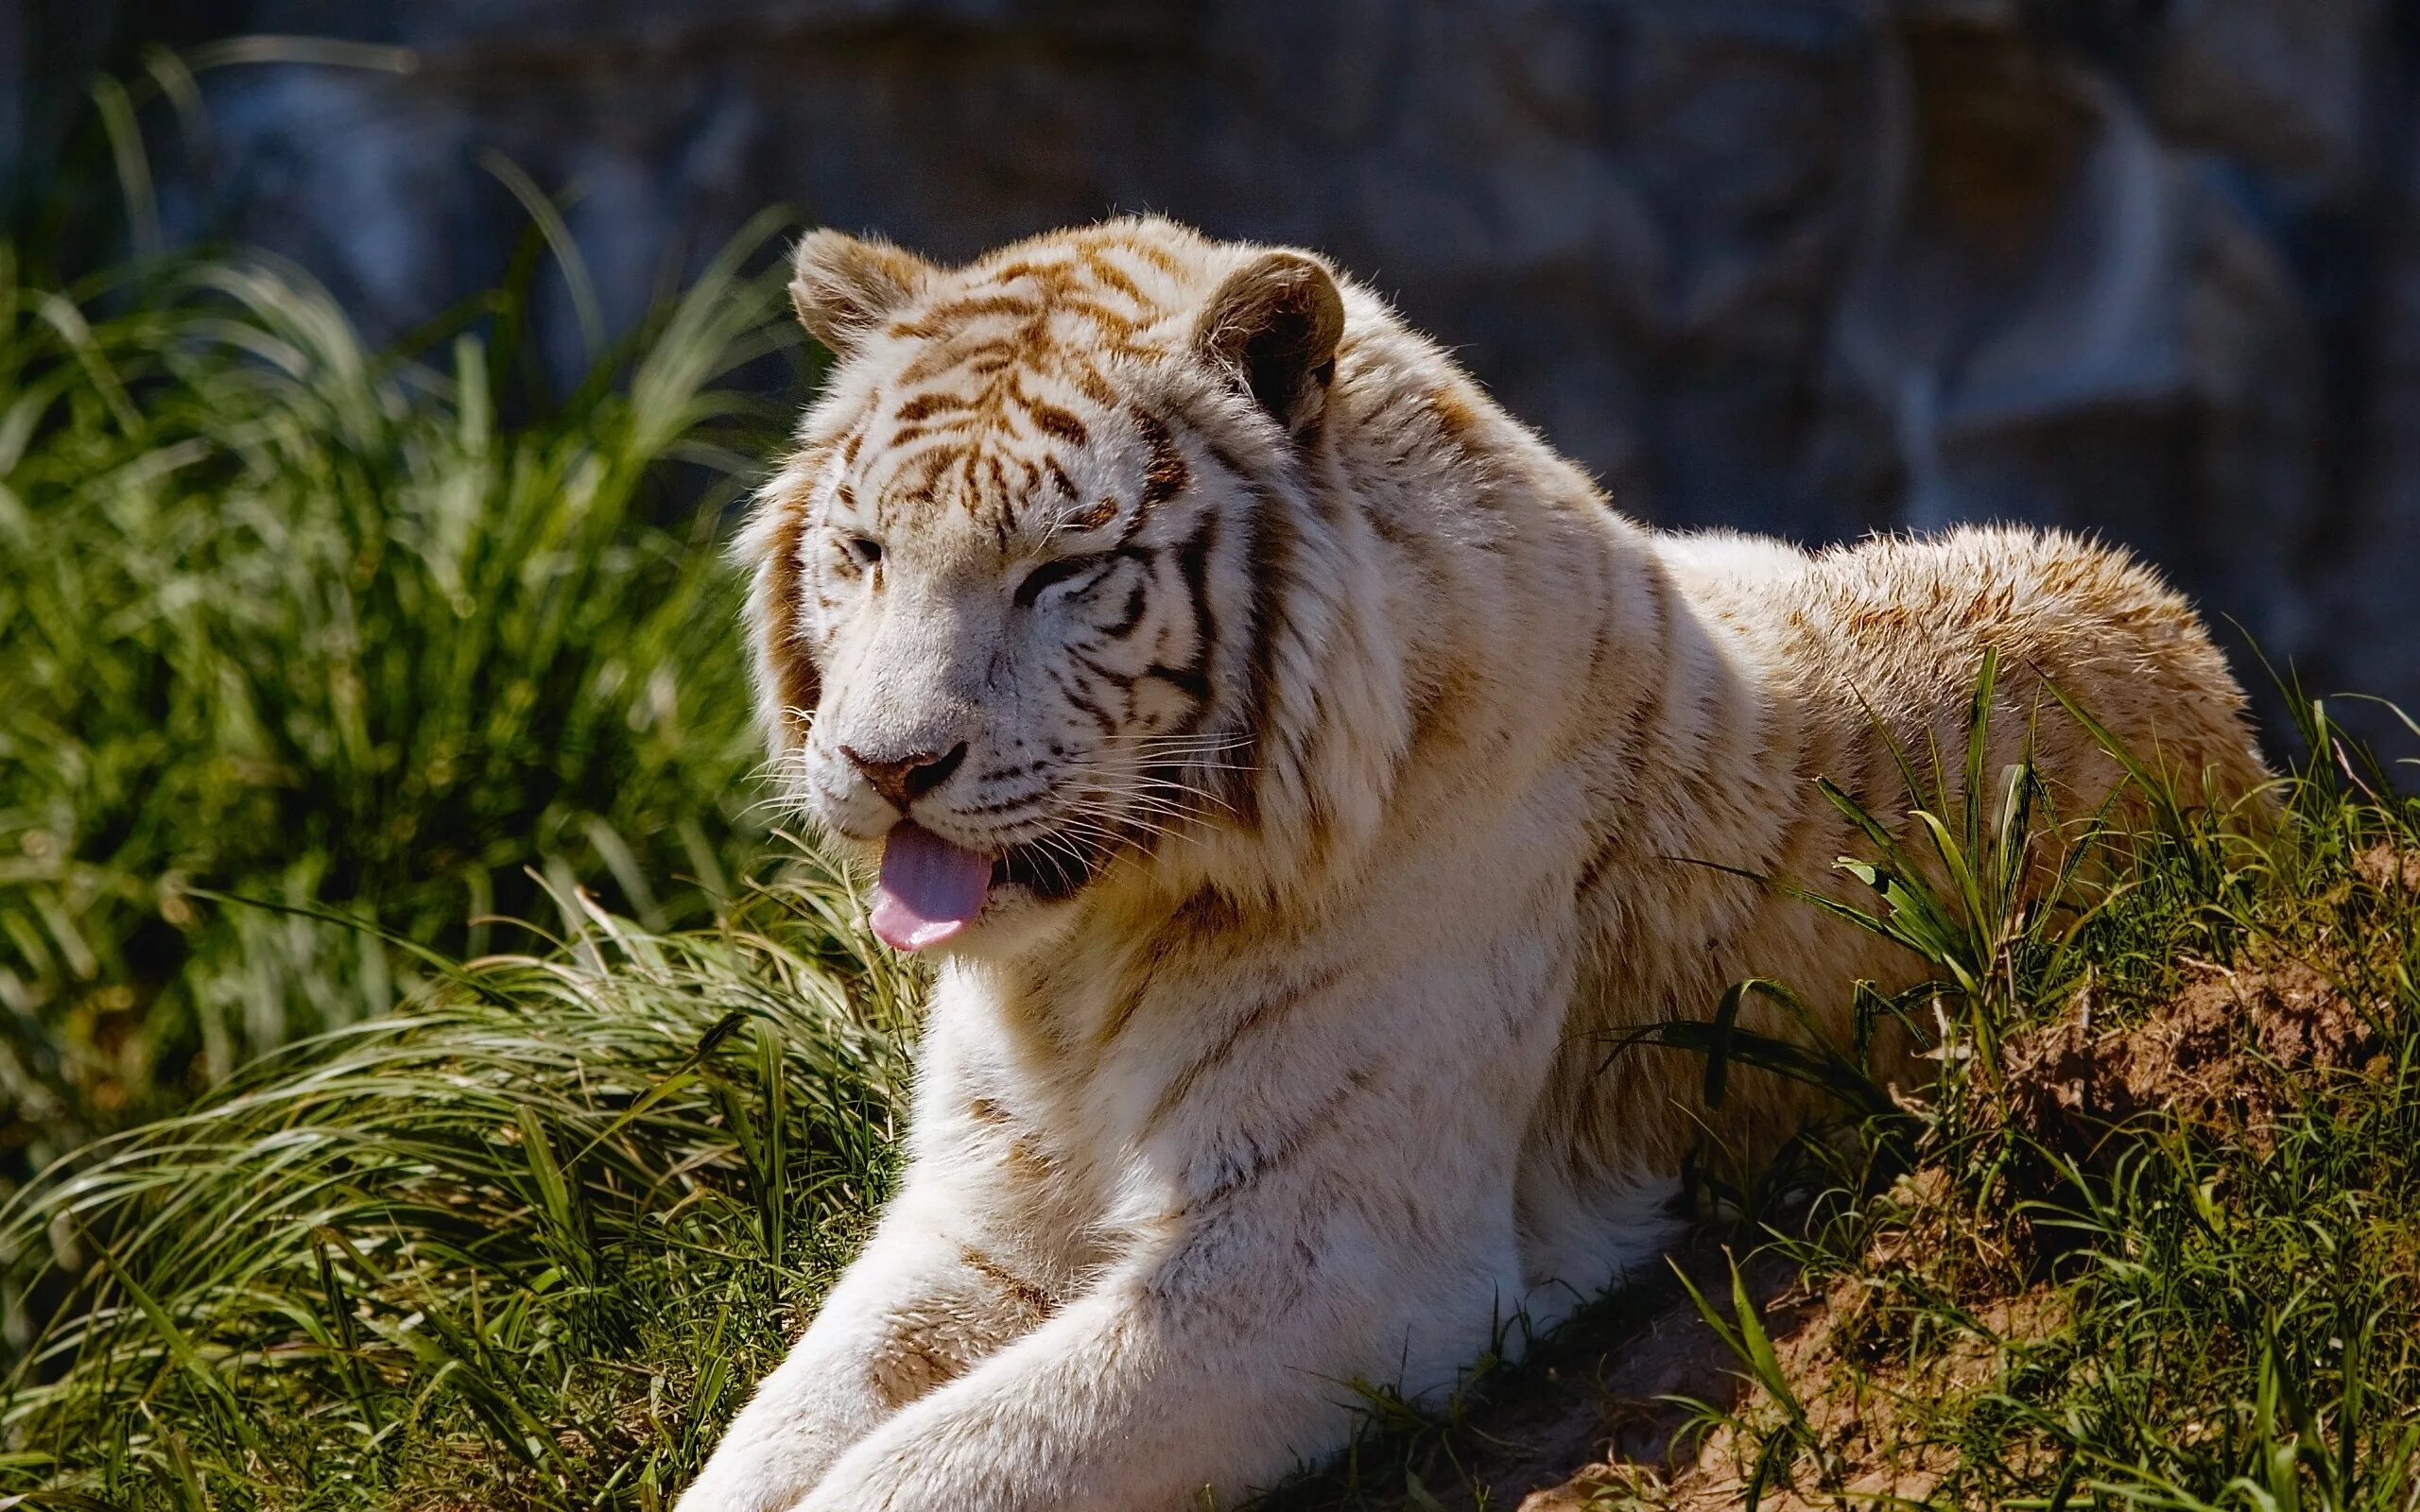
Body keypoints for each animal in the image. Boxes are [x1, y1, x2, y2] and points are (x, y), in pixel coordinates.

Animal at [682, 215, 2265, 1509]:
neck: (1080, 966)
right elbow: (779, 1432)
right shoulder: (981, 1220)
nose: (887, 766)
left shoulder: (1330, 1251)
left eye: (1062, 572)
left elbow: (939, 1461)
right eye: (867, 551)